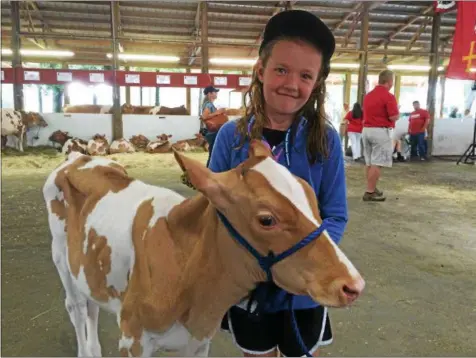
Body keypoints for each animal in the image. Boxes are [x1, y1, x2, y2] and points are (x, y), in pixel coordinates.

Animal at [43, 141, 364, 356]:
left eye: (312, 199)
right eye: (266, 219)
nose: (353, 285)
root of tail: (79, 156)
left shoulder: (199, 341)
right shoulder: (133, 338)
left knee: (91, 304)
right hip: (59, 255)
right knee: (76, 307)